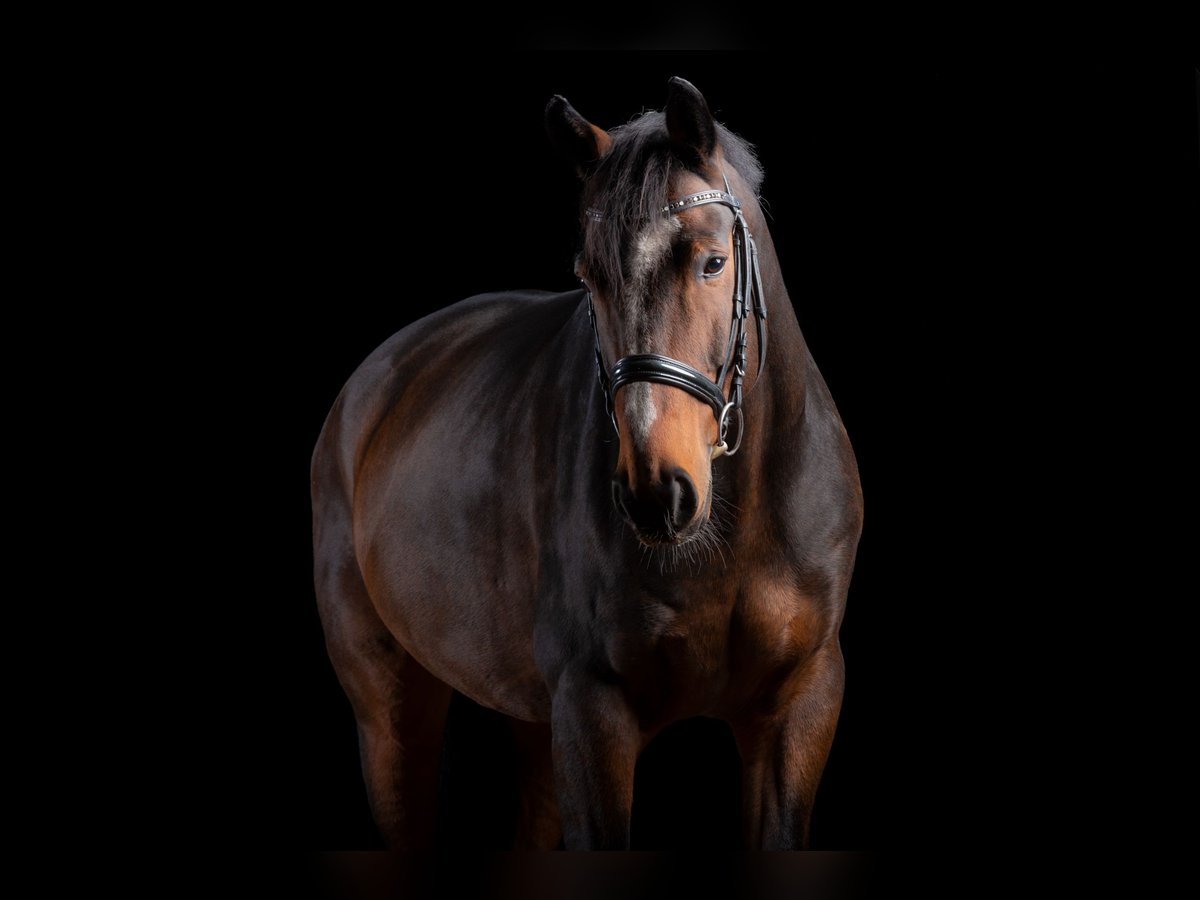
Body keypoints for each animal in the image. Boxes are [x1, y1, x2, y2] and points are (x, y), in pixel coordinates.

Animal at [311, 77, 863, 850]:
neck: (734, 528)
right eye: (589, 277)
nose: (657, 493)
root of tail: (376, 379)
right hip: (390, 706)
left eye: (713, 261)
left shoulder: (801, 705)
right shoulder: (592, 714)